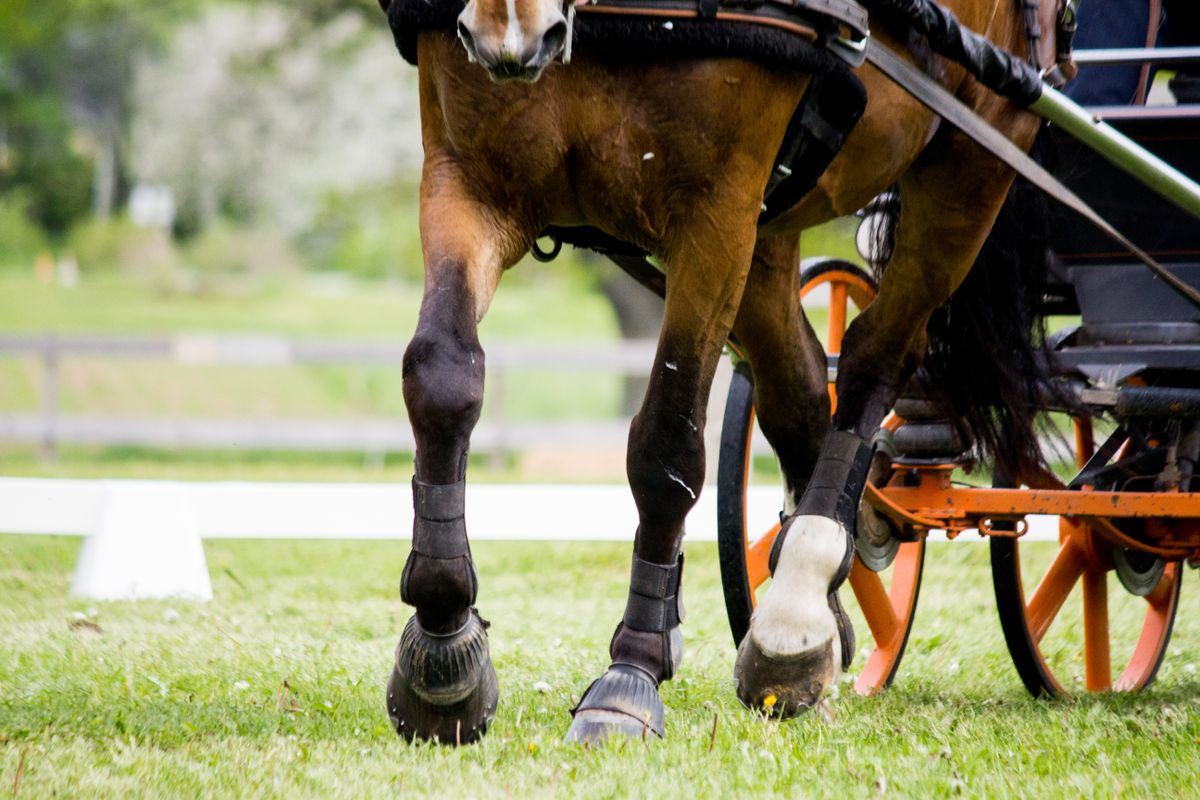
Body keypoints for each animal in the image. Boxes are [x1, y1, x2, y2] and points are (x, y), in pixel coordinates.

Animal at [381, 0, 1051, 743]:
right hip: (776, 229)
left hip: (971, 168)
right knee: (800, 387)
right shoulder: (465, 180)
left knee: (876, 356)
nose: (508, 33)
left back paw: (794, 613)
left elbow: (666, 445)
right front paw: (444, 646)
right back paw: (833, 579)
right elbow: (442, 375)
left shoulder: (716, 214)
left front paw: (633, 671)